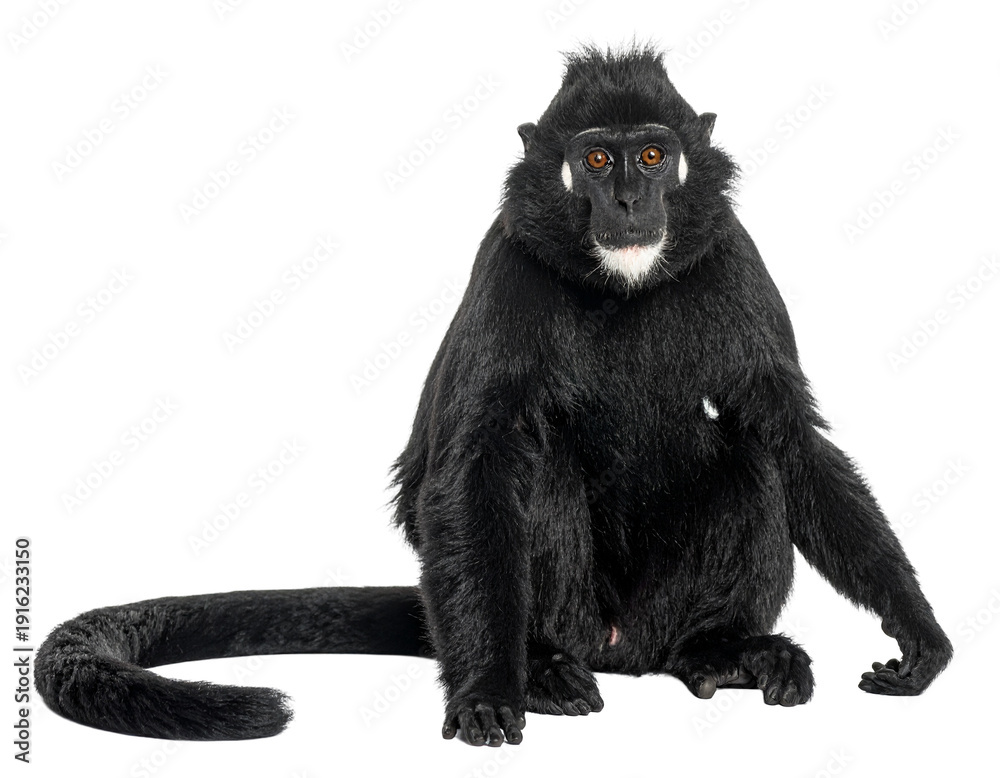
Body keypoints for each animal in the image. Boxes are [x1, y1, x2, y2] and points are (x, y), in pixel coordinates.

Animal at [35, 45, 952, 747]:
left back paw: (720, 649)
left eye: (654, 156)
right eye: (596, 158)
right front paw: (486, 692)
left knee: (748, 457)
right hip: (574, 613)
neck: (622, 288)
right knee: (534, 468)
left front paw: (918, 632)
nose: (629, 200)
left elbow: (792, 439)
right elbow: (471, 466)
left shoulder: (735, 261)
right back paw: (543, 668)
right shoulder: (509, 266)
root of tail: (627, 646)